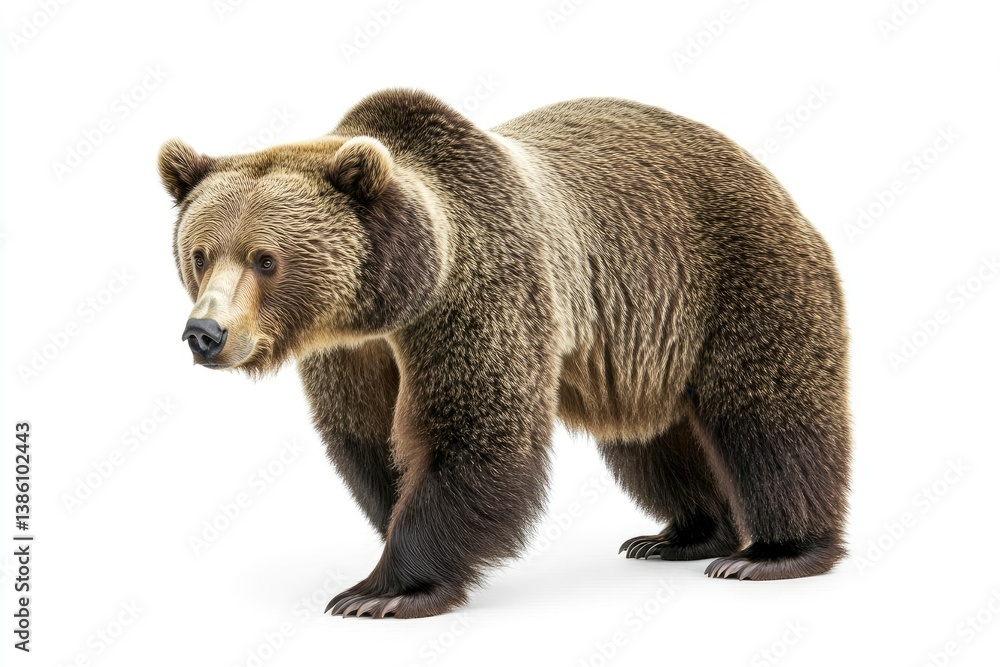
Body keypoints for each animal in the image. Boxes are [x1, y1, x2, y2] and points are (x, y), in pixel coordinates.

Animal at [158, 89, 851, 619]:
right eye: (200, 253)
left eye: (264, 258)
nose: (205, 333)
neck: (396, 295)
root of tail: (764, 172)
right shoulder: (352, 352)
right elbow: (371, 440)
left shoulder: (482, 290)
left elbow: (472, 431)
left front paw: (380, 592)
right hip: (643, 349)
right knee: (652, 443)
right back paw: (685, 535)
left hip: (736, 278)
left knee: (771, 416)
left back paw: (771, 553)